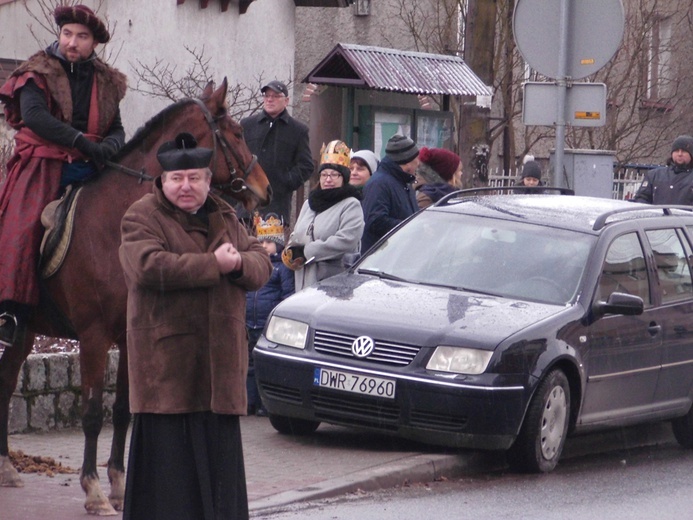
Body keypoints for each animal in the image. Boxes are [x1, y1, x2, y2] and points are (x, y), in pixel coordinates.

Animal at [0, 79, 270, 512]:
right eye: (238, 133)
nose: (265, 188)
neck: (116, 225)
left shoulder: (130, 335)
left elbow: (124, 409)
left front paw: (119, 483)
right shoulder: (94, 336)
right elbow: (93, 412)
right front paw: (93, 490)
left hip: (24, 331)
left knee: (6, 382)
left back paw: (7, 466)